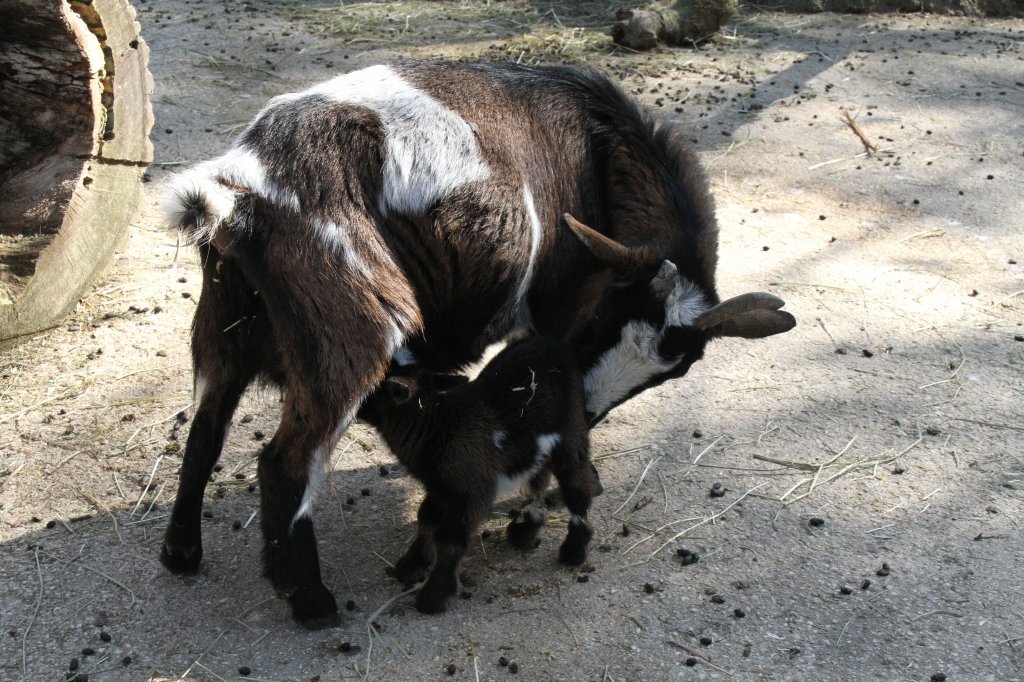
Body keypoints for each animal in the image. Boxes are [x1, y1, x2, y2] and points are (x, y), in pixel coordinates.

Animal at [358, 337, 593, 614]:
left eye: (372, 388)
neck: (437, 426)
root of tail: (553, 343)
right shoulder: (441, 488)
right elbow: (425, 520)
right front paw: (410, 566)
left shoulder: (471, 492)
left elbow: (448, 539)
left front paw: (434, 596)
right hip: (536, 449)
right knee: (537, 481)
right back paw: (525, 532)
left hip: (570, 432)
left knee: (577, 488)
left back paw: (573, 552)